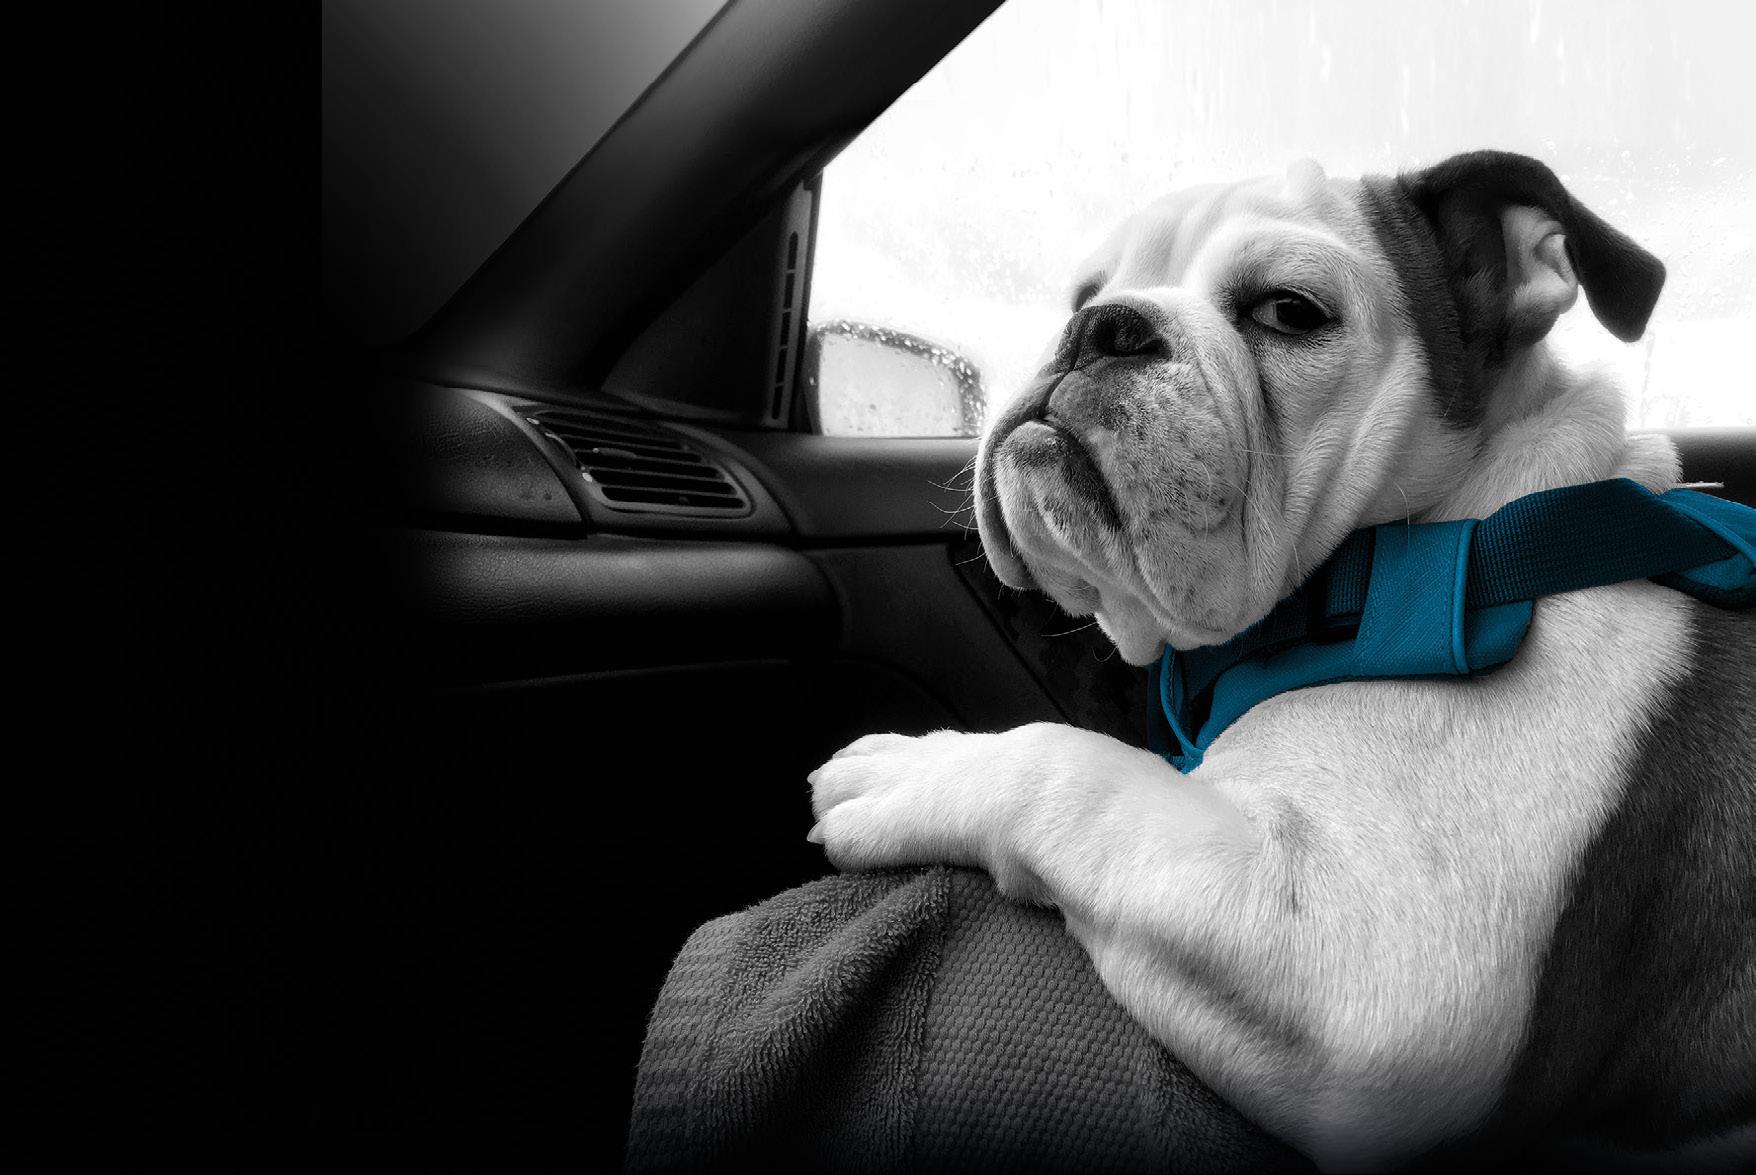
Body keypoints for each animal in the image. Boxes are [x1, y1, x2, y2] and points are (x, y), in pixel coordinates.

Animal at [808, 151, 1753, 1171]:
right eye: (1086, 294)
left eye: (1289, 311)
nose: (1100, 325)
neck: (1458, 543)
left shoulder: (1358, 966)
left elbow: (1074, 771)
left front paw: (911, 770)